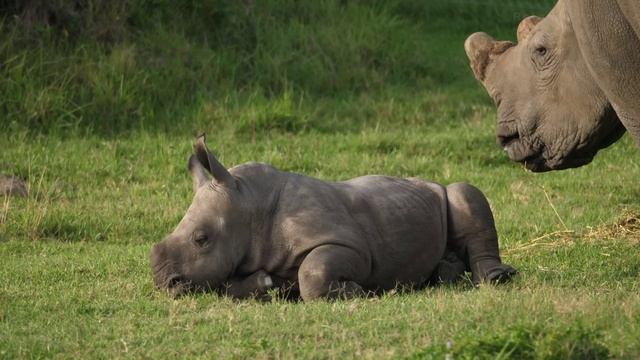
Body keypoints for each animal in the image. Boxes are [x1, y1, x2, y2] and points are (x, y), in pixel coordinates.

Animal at [150, 135, 516, 300]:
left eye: (201, 239)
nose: (165, 284)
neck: (249, 204)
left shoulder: (351, 245)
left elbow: (313, 271)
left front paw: (357, 291)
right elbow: (229, 284)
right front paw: (270, 285)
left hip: (443, 192)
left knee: (465, 192)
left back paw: (498, 278)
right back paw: (443, 274)